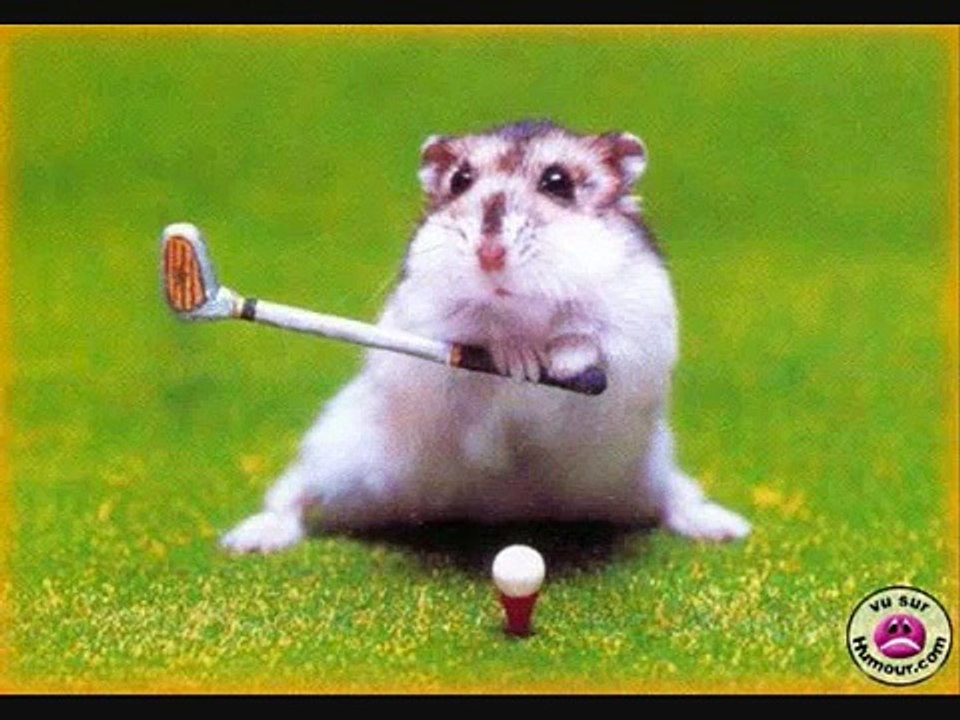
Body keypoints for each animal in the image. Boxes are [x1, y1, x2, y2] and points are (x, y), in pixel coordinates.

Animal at [220, 119, 751, 553]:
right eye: (460, 180)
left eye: (558, 182)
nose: (489, 255)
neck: (523, 308)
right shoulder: (423, 321)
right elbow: (478, 332)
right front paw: (520, 360)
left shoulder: (635, 326)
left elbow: (584, 335)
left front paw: (554, 362)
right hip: (337, 450)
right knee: (292, 491)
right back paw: (248, 540)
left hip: (647, 468)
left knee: (678, 496)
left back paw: (726, 528)